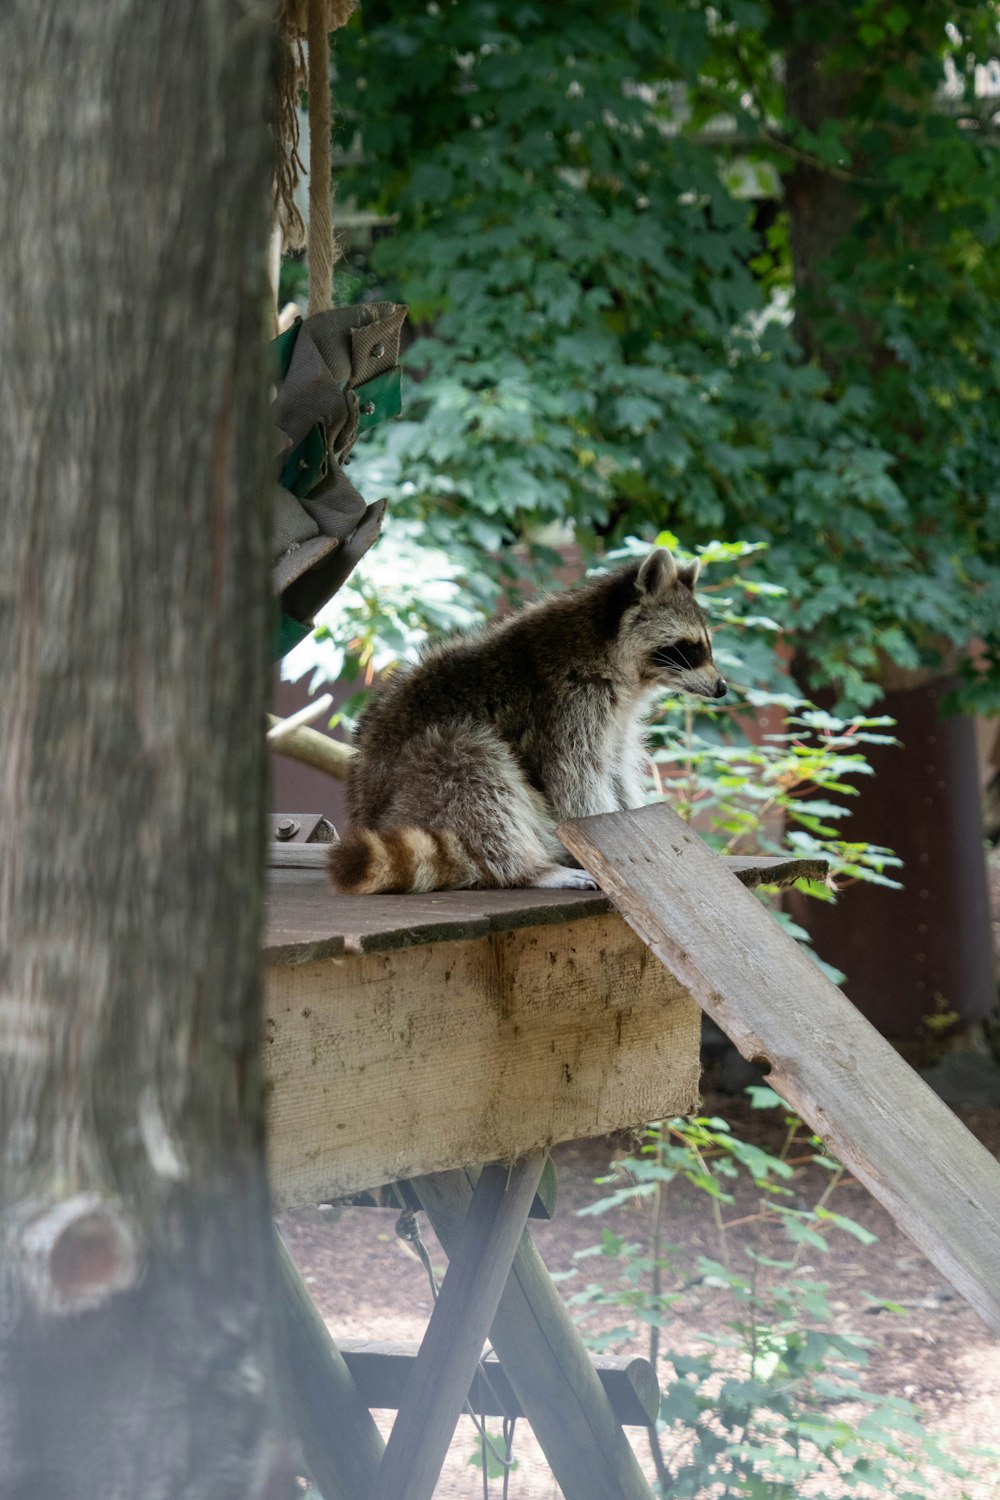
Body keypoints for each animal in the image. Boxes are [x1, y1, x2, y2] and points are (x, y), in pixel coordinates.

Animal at [328, 549, 728, 888]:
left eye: (707, 646)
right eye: (690, 648)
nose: (722, 687)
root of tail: (367, 814)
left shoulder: (614, 717)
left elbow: (615, 769)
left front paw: (634, 816)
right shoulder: (566, 705)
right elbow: (576, 781)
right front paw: (600, 838)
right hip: (423, 780)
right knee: (473, 771)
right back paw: (529, 869)